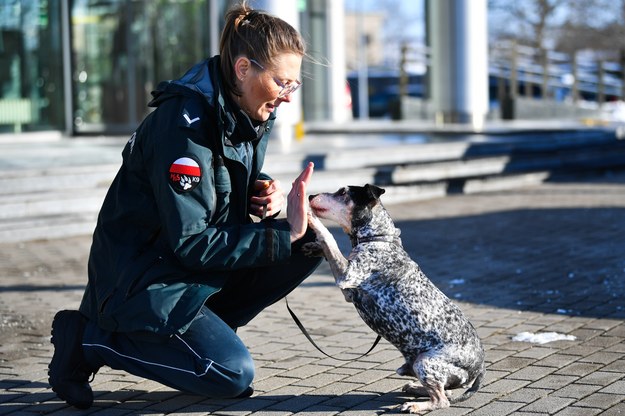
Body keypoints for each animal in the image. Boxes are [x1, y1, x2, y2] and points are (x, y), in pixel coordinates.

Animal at [304, 184, 486, 412]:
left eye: (343, 192)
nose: (311, 195)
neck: (379, 238)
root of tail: (481, 368)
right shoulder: (349, 289)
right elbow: (328, 248)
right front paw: (313, 247)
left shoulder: (347, 275)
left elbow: (329, 239)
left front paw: (310, 216)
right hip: (415, 366)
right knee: (446, 391)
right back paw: (414, 388)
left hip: (425, 362)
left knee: (442, 400)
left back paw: (415, 405)